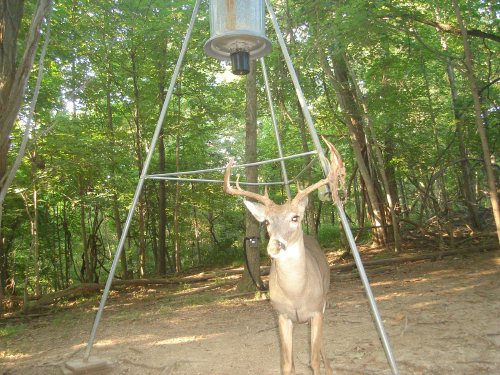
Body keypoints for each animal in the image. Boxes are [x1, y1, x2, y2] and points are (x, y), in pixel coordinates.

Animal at [225, 145, 342, 375]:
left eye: (295, 217)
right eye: (267, 222)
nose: (274, 245)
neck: (296, 293)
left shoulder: (317, 311)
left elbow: (314, 361)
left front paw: (322, 365)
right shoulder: (281, 314)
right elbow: (287, 363)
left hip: (324, 299)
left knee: (321, 346)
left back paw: (330, 367)